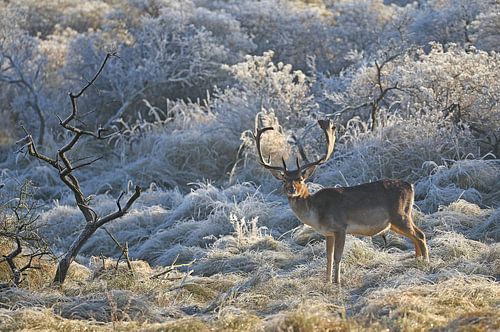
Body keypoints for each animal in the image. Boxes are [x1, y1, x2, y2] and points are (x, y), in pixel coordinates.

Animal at [254, 120, 430, 284]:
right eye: (284, 180)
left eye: (300, 179)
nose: (291, 189)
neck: (316, 213)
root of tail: (410, 186)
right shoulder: (328, 233)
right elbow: (328, 257)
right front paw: (327, 281)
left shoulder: (340, 227)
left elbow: (337, 257)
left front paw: (337, 281)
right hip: (396, 221)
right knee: (415, 236)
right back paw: (417, 261)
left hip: (399, 215)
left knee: (420, 235)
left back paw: (426, 263)